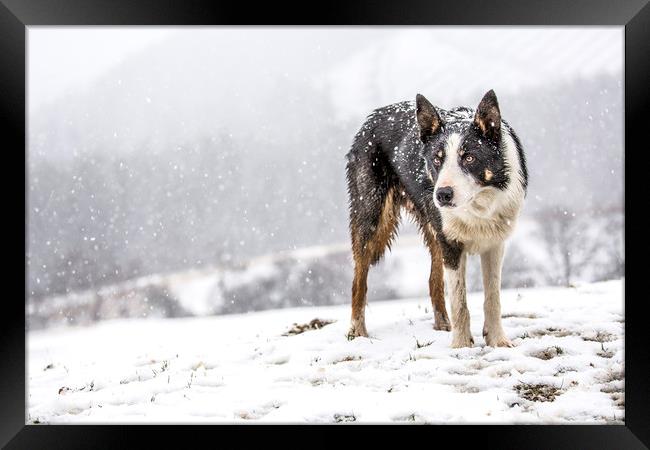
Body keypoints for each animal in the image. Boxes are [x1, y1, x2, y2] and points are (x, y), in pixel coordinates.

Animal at [344, 89, 528, 348]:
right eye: (437, 159)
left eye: (469, 158)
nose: (442, 194)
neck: (476, 206)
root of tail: (375, 114)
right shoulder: (451, 244)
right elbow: (460, 303)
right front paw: (461, 346)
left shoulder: (495, 244)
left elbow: (493, 298)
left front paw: (497, 341)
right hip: (370, 219)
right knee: (358, 281)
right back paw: (356, 331)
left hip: (432, 231)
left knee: (433, 281)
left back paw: (442, 325)